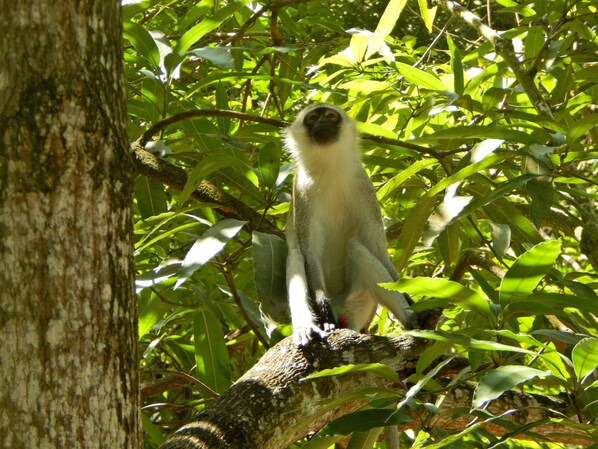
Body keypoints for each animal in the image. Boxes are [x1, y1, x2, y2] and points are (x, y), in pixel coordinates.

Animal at [286, 104, 418, 346]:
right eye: (312, 117)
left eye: (330, 116)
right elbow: (310, 253)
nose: (322, 123)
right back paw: (308, 326)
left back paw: (416, 319)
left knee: (357, 248)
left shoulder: (362, 183)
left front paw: (410, 297)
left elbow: (378, 250)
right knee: (297, 255)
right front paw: (323, 312)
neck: (329, 166)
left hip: (359, 302)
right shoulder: (302, 190)